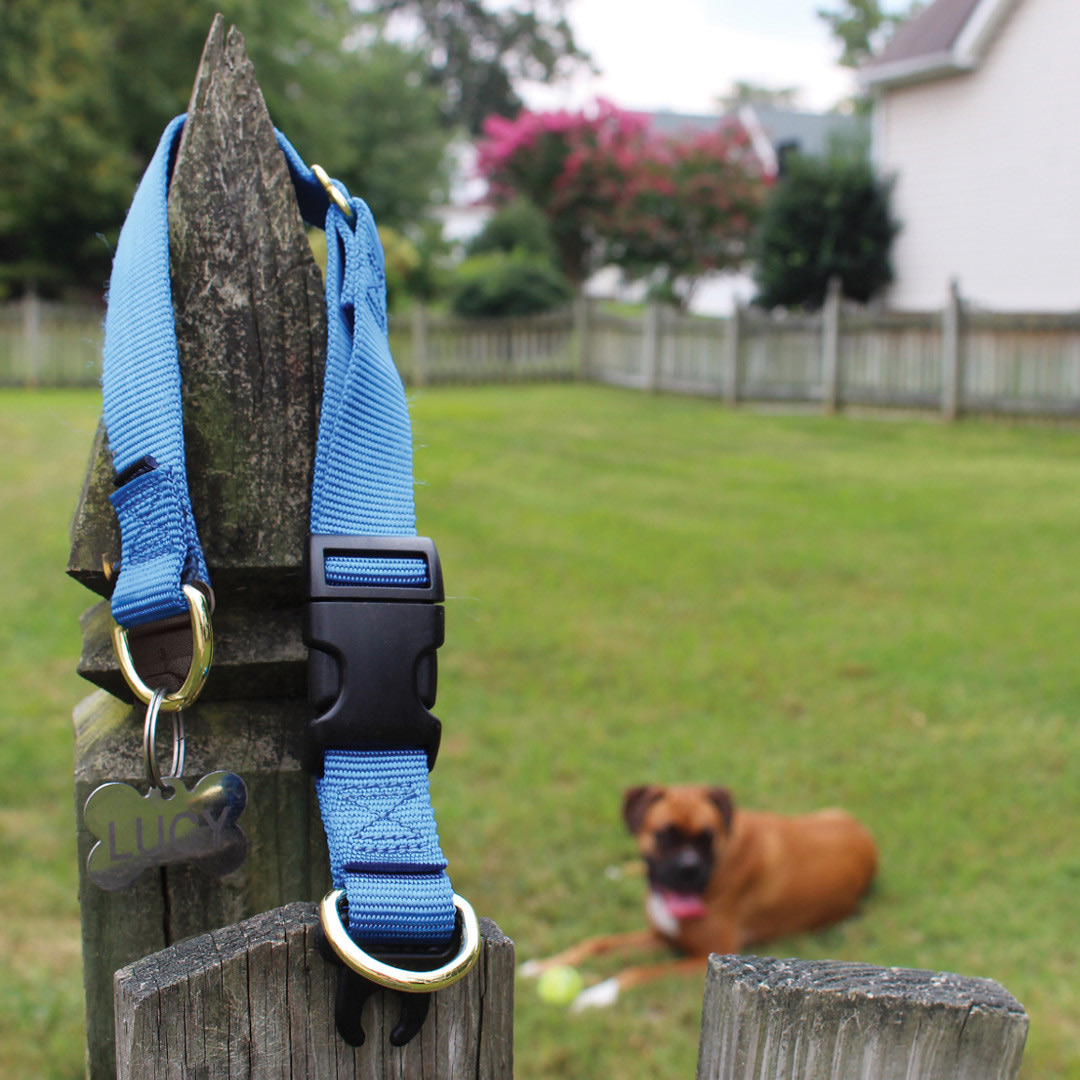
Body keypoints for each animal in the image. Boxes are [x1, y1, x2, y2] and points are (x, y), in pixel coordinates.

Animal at [520, 786, 876, 1002]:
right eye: (664, 835)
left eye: (707, 837)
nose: (688, 867)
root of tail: (864, 833)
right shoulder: (661, 936)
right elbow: (597, 943)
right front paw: (540, 967)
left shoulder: (701, 957)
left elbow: (639, 971)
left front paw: (597, 996)